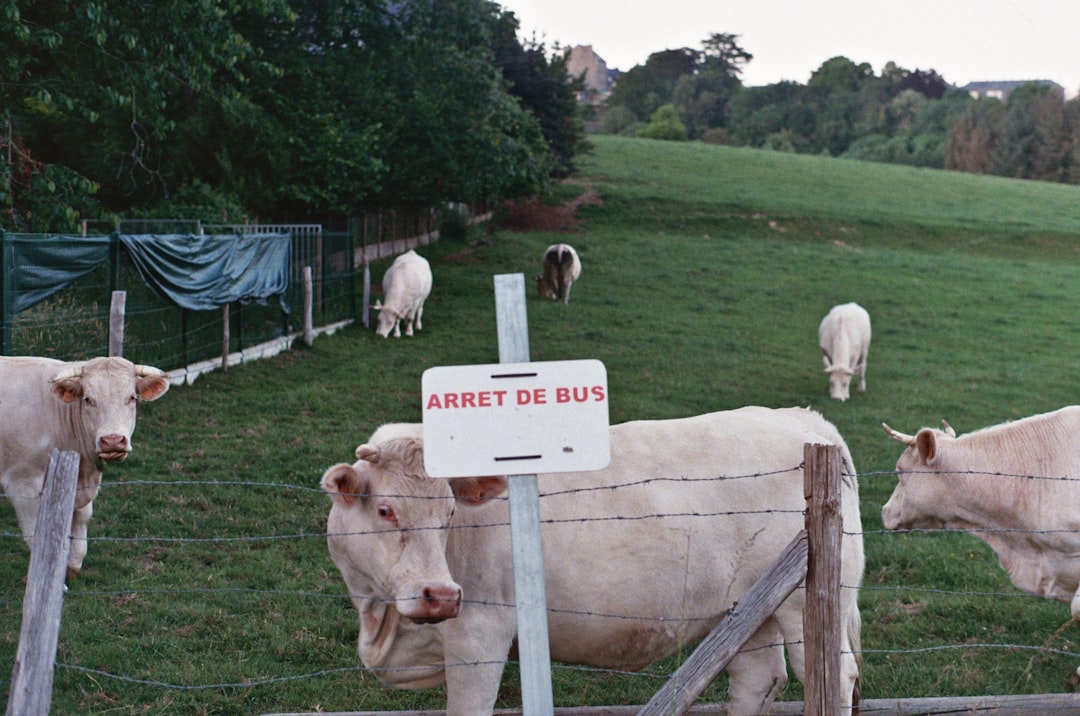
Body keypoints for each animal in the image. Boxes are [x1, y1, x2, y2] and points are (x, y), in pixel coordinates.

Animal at [0, 356, 170, 579]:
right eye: (88, 399)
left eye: (132, 398)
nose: (112, 440)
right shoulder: (22, 486)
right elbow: (35, 536)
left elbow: (82, 523)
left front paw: (71, 568)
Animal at [321, 407, 865, 716]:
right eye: (385, 509)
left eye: (450, 512)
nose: (440, 594)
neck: (381, 622)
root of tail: (805, 421)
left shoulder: (481, 634)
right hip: (753, 611)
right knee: (757, 681)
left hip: (808, 604)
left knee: (835, 678)